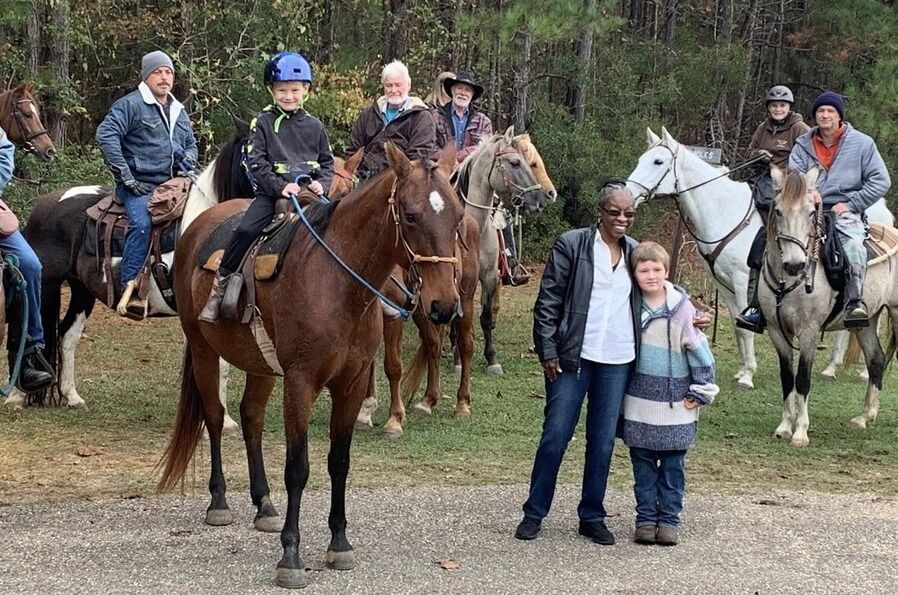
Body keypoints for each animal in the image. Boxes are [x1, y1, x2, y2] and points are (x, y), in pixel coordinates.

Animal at [157, 142, 462, 588]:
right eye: (410, 215)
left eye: (457, 216)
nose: (443, 305)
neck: (337, 283)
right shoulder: (301, 382)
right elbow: (298, 468)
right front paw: (291, 555)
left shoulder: (351, 383)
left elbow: (339, 462)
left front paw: (339, 544)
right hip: (202, 350)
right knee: (214, 417)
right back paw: (219, 501)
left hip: (259, 363)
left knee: (251, 417)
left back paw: (264, 504)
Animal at [628, 127, 892, 388]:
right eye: (641, 159)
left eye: (658, 161)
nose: (628, 193)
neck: (725, 212)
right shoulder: (723, 285)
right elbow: (738, 327)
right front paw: (742, 369)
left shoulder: (742, 280)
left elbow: (745, 328)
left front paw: (747, 375)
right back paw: (832, 367)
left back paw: (863, 372)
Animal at [760, 169, 896, 448]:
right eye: (777, 211)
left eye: (812, 212)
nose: (795, 265)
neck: (788, 283)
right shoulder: (777, 332)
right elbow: (786, 378)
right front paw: (784, 427)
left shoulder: (809, 332)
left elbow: (802, 379)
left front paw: (800, 432)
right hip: (867, 321)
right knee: (876, 359)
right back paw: (865, 417)